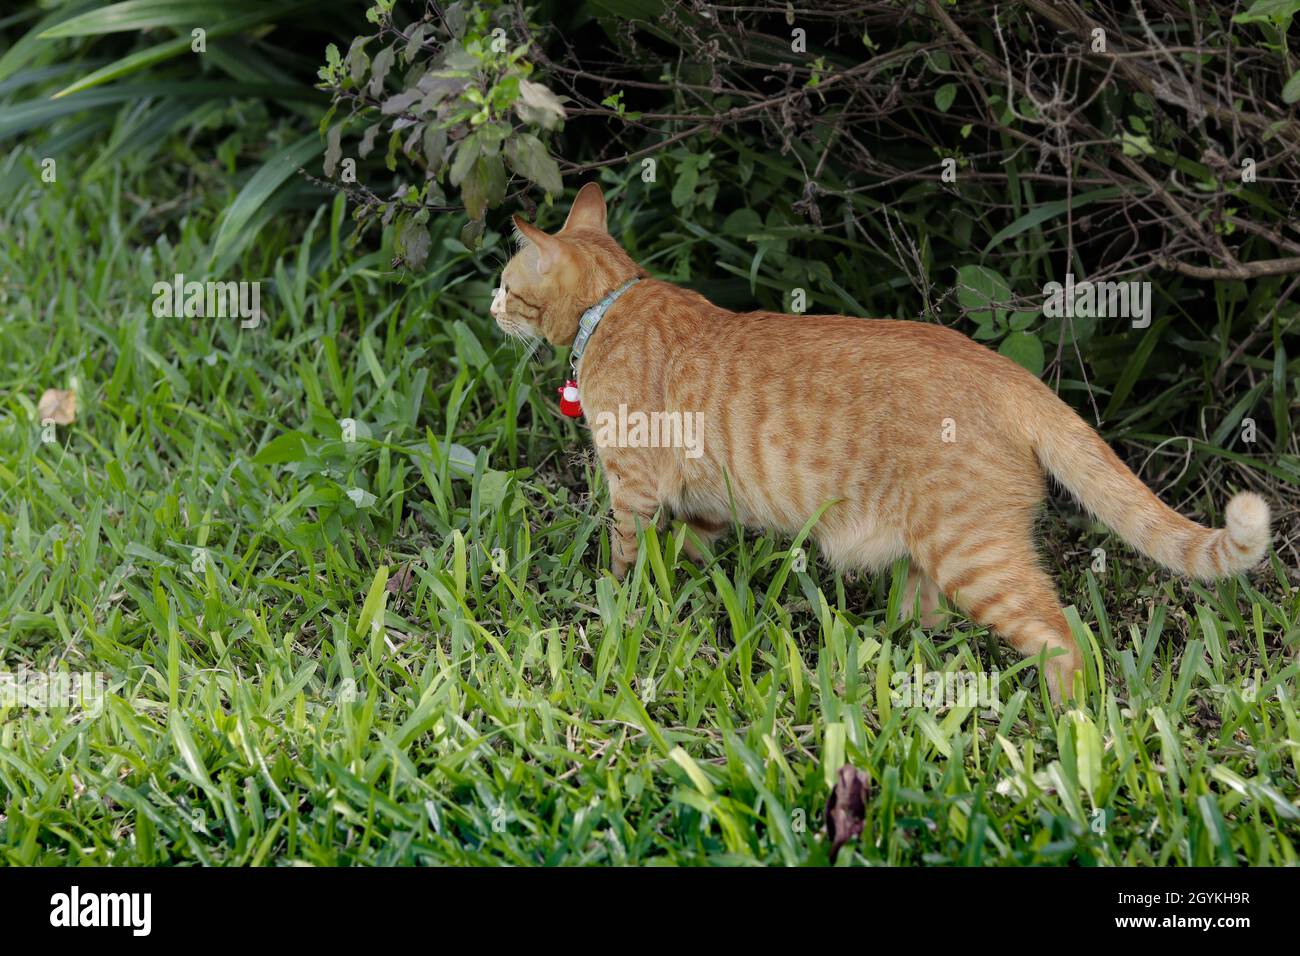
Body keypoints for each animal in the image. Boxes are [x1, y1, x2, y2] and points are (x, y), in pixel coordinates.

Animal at [491, 183, 1274, 697]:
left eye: (504, 282)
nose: (492, 305)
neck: (610, 307)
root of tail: (1006, 370)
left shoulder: (635, 489)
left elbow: (623, 566)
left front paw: (617, 610)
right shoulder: (704, 502)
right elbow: (688, 555)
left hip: (976, 560)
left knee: (1064, 639)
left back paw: (1069, 725)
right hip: (932, 556)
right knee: (925, 625)